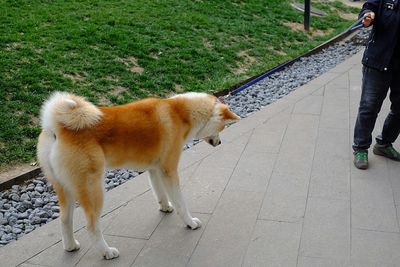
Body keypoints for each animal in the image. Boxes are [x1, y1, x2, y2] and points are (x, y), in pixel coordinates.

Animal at [36, 91, 239, 260]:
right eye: (222, 128)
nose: (220, 143)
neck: (180, 112)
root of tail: (57, 126)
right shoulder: (169, 170)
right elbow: (181, 203)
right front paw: (190, 222)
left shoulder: (155, 169)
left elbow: (160, 193)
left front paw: (165, 207)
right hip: (93, 189)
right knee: (91, 227)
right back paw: (107, 252)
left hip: (65, 189)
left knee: (64, 220)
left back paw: (70, 246)